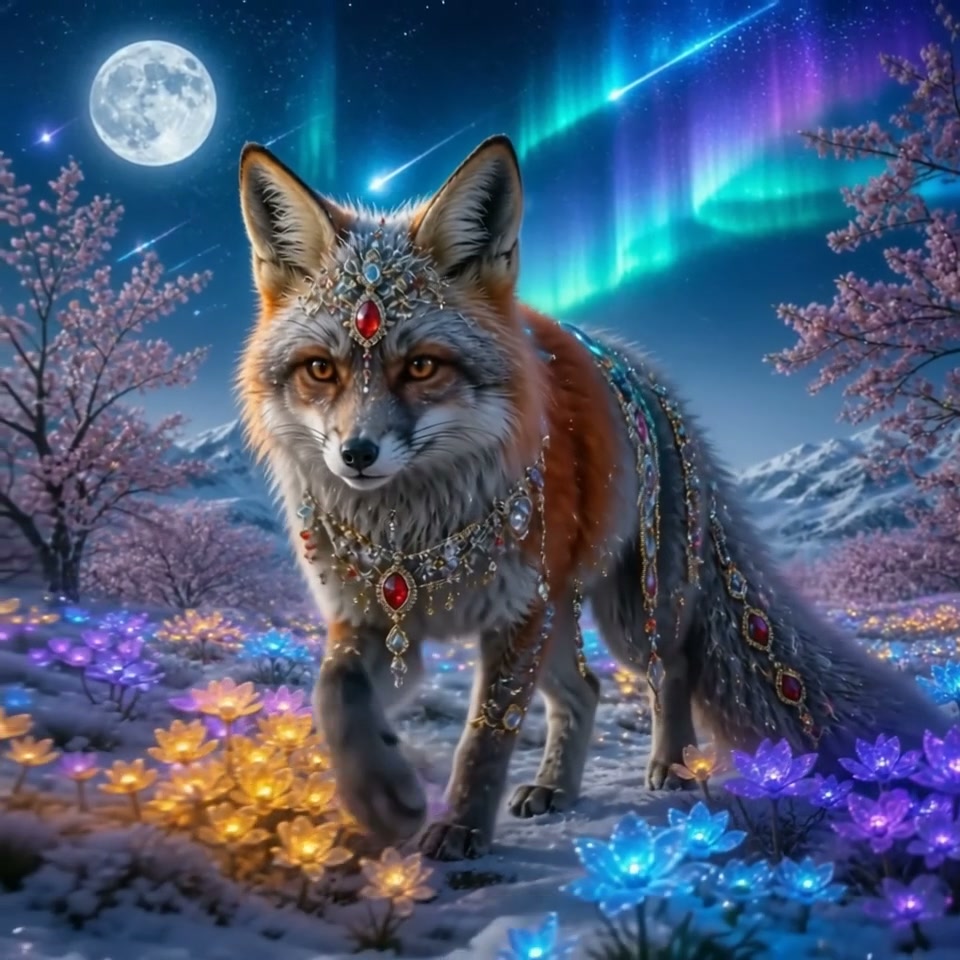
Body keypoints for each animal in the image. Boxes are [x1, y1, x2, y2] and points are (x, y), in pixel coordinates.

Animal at [235, 134, 950, 862]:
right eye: (321, 369)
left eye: (422, 366)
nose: (357, 454)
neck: (416, 536)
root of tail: (652, 380)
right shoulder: (372, 616)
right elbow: (334, 697)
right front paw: (380, 796)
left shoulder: (515, 616)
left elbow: (486, 735)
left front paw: (461, 827)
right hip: (558, 624)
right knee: (587, 688)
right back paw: (556, 787)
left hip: (629, 614)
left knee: (671, 666)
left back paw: (672, 765)